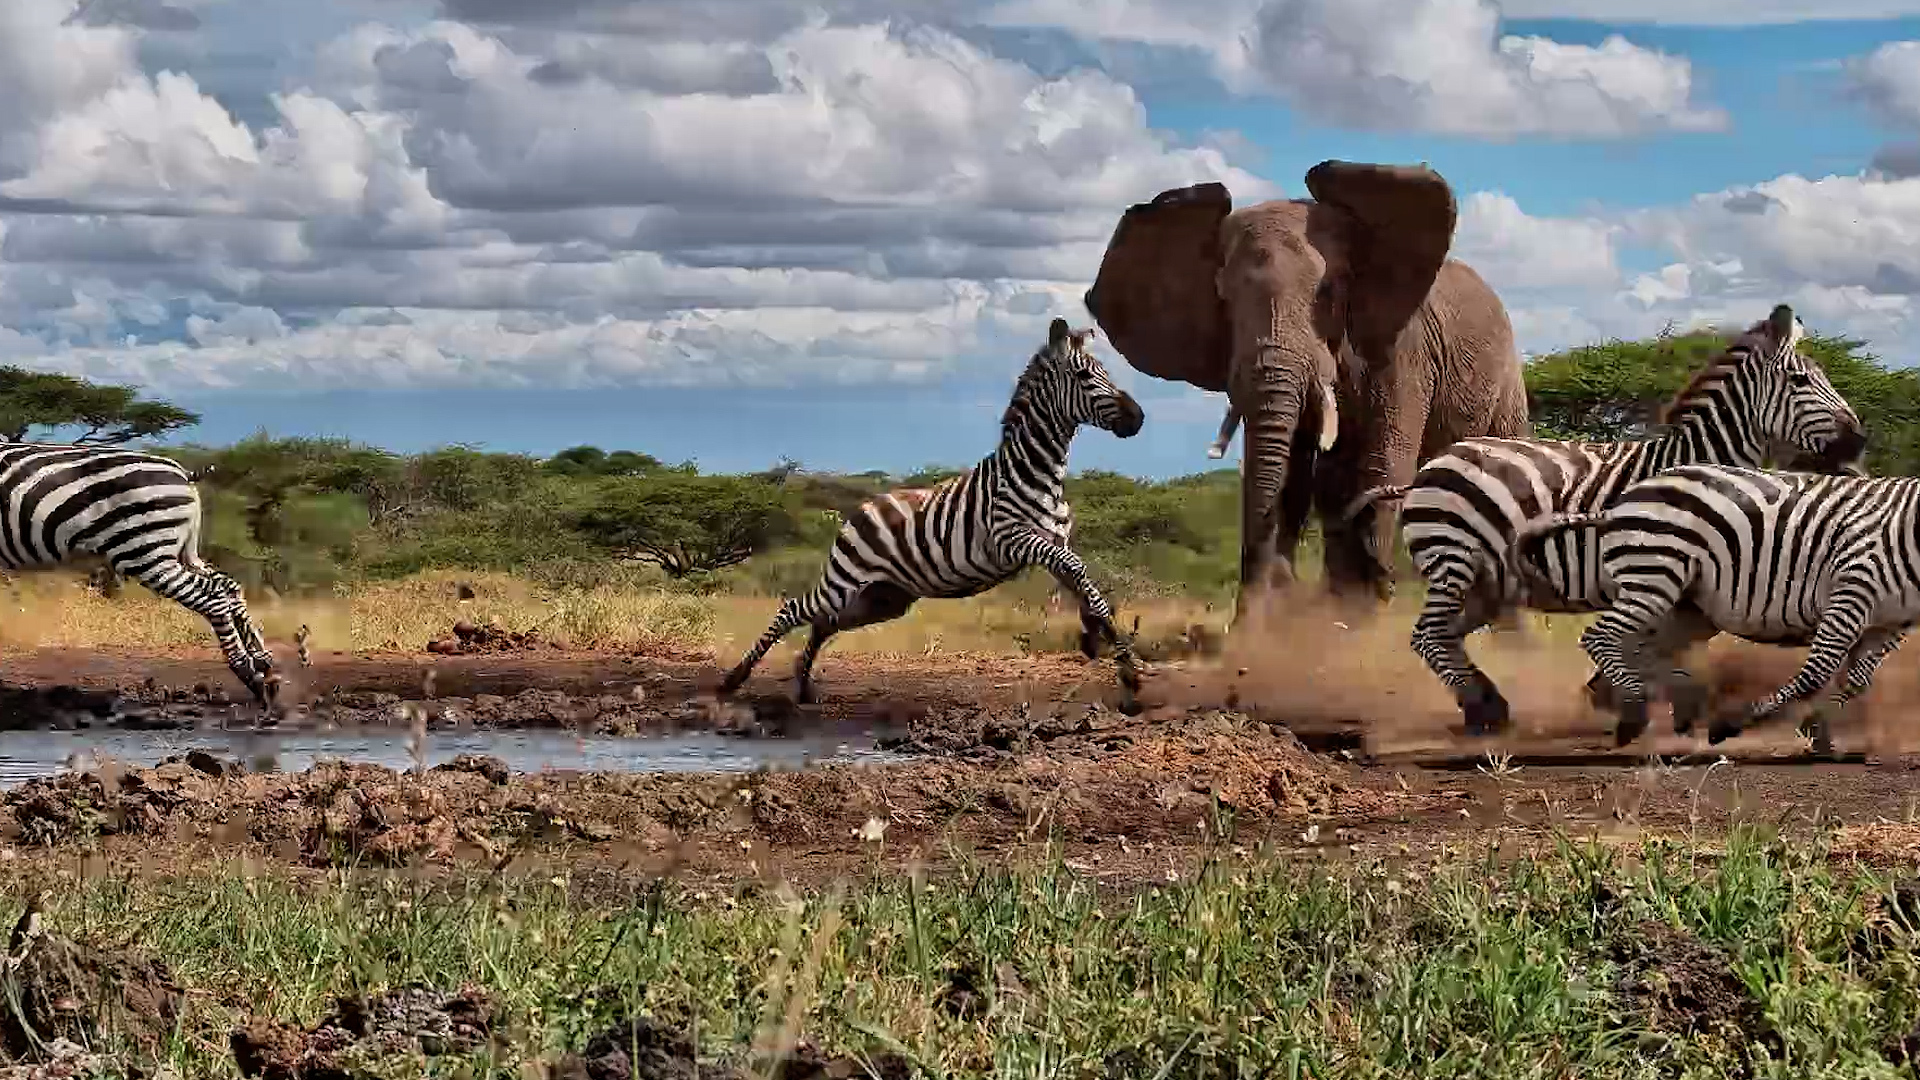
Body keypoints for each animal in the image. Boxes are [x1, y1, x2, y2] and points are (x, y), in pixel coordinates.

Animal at [0, 443, 279, 706]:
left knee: (213, 597)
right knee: (228, 586)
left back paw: (250, 676)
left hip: (145, 550)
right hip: (181, 551)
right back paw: (263, 664)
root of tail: (183, 473)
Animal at [716, 317, 1148, 712]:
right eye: (1083, 374)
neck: (1037, 471)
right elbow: (1079, 573)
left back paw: (803, 686)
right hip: (846, 580)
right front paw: (1118, 661)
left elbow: (1084, 586)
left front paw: (1103, 645)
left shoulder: (1054, 540)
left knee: (823, 622)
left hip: (883, 598)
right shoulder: (1013, 539)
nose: (1138, 417)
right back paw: (733, 680)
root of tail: (858, 510)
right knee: (792, 610)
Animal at [1082, 160, 1530, 623]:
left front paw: (1363, 623)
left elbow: (1383, 463)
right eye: (1224, 297)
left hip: (1507, 387)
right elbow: (1293, 476)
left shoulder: (1404, 352)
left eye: (1329, 292)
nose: (1249, 611)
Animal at [1339, 304, 1867, 738]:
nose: (1860, 441)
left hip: (1486, 581)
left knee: (1444, 637)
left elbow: (1664, 641)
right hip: (1454, 563)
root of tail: (1428, 470)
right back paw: (1482, 710)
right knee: (1428, 637)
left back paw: (1488, 703)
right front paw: (1623, 697)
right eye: (1800, 381)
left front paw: (1609, 694)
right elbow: (1655, 641)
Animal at [1511, 465, 1920, 753]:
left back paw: (1671, 705)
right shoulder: (1853, 588)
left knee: (1645, 647)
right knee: (1601, 636)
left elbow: (1856, 680)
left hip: (1688, 603)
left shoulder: (1890, 622)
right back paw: (1639, 709)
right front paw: (1734, 723)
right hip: (1655, 575)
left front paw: (1820, 733)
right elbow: (1816, 672)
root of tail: (1623, 500)